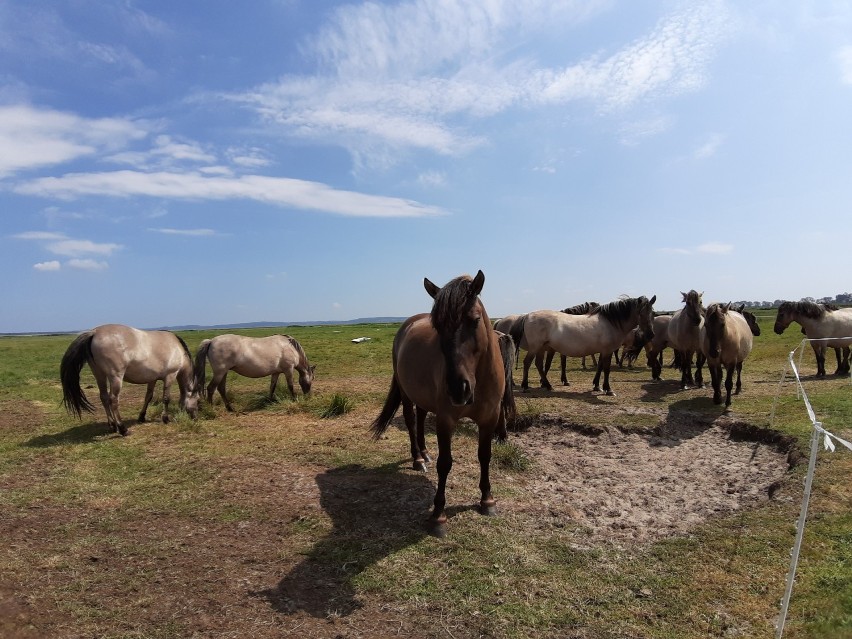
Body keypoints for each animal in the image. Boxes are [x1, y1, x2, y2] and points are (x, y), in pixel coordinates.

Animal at [60, 324, 200, 436]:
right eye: (198, 400)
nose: (195, 418)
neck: (177, 349)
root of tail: (95, 332)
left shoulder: (152, 379)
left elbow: (148, 396)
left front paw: (142, 417)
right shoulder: (170, 376)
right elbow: (166, 398)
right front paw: (165, 418)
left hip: (99, 375)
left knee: (104, 397)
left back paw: (112, 426)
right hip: (116, 378)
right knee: (113, 400)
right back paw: (122, 429)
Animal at [370, 272, 516, 536]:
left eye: (474, 320)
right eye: (437, 326)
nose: (459, 389)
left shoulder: (489, 418)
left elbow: (485, 455)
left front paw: (487, 500)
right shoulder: (446, 421)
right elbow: (445, 463)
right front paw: (438, 515)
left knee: (419, 417)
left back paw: (425, 453)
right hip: (406, 393)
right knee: (410, 420)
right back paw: (418, 459)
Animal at [510, 296, 656, 396]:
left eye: (652, 313)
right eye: (641, 313)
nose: (651, 334)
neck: (611, 322)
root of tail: (527, 315)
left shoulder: (603, 351)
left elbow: (600, 367)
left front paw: (597, 386)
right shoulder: (608, 351)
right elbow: (606, 369)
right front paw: (608, 389)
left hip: (541, 348)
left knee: (539, 364)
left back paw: (548, 385)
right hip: (535, 347)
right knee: (527, 362)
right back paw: (525, 386)